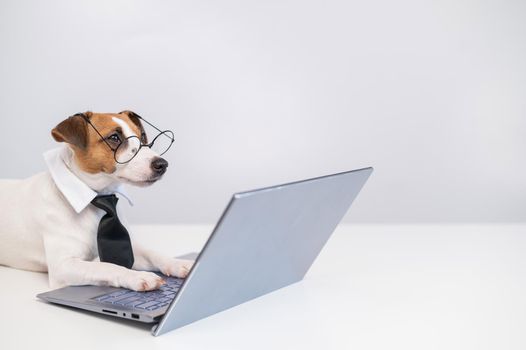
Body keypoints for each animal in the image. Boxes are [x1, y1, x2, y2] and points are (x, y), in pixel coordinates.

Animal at [0, 111, 195, 290]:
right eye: (114, 137)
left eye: (142, 137)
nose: (162, 164)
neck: (99, 197)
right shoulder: (62, 266)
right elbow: (108, 266)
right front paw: (137, 276)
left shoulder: (132, 247)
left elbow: (152, 253)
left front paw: (179, 263)